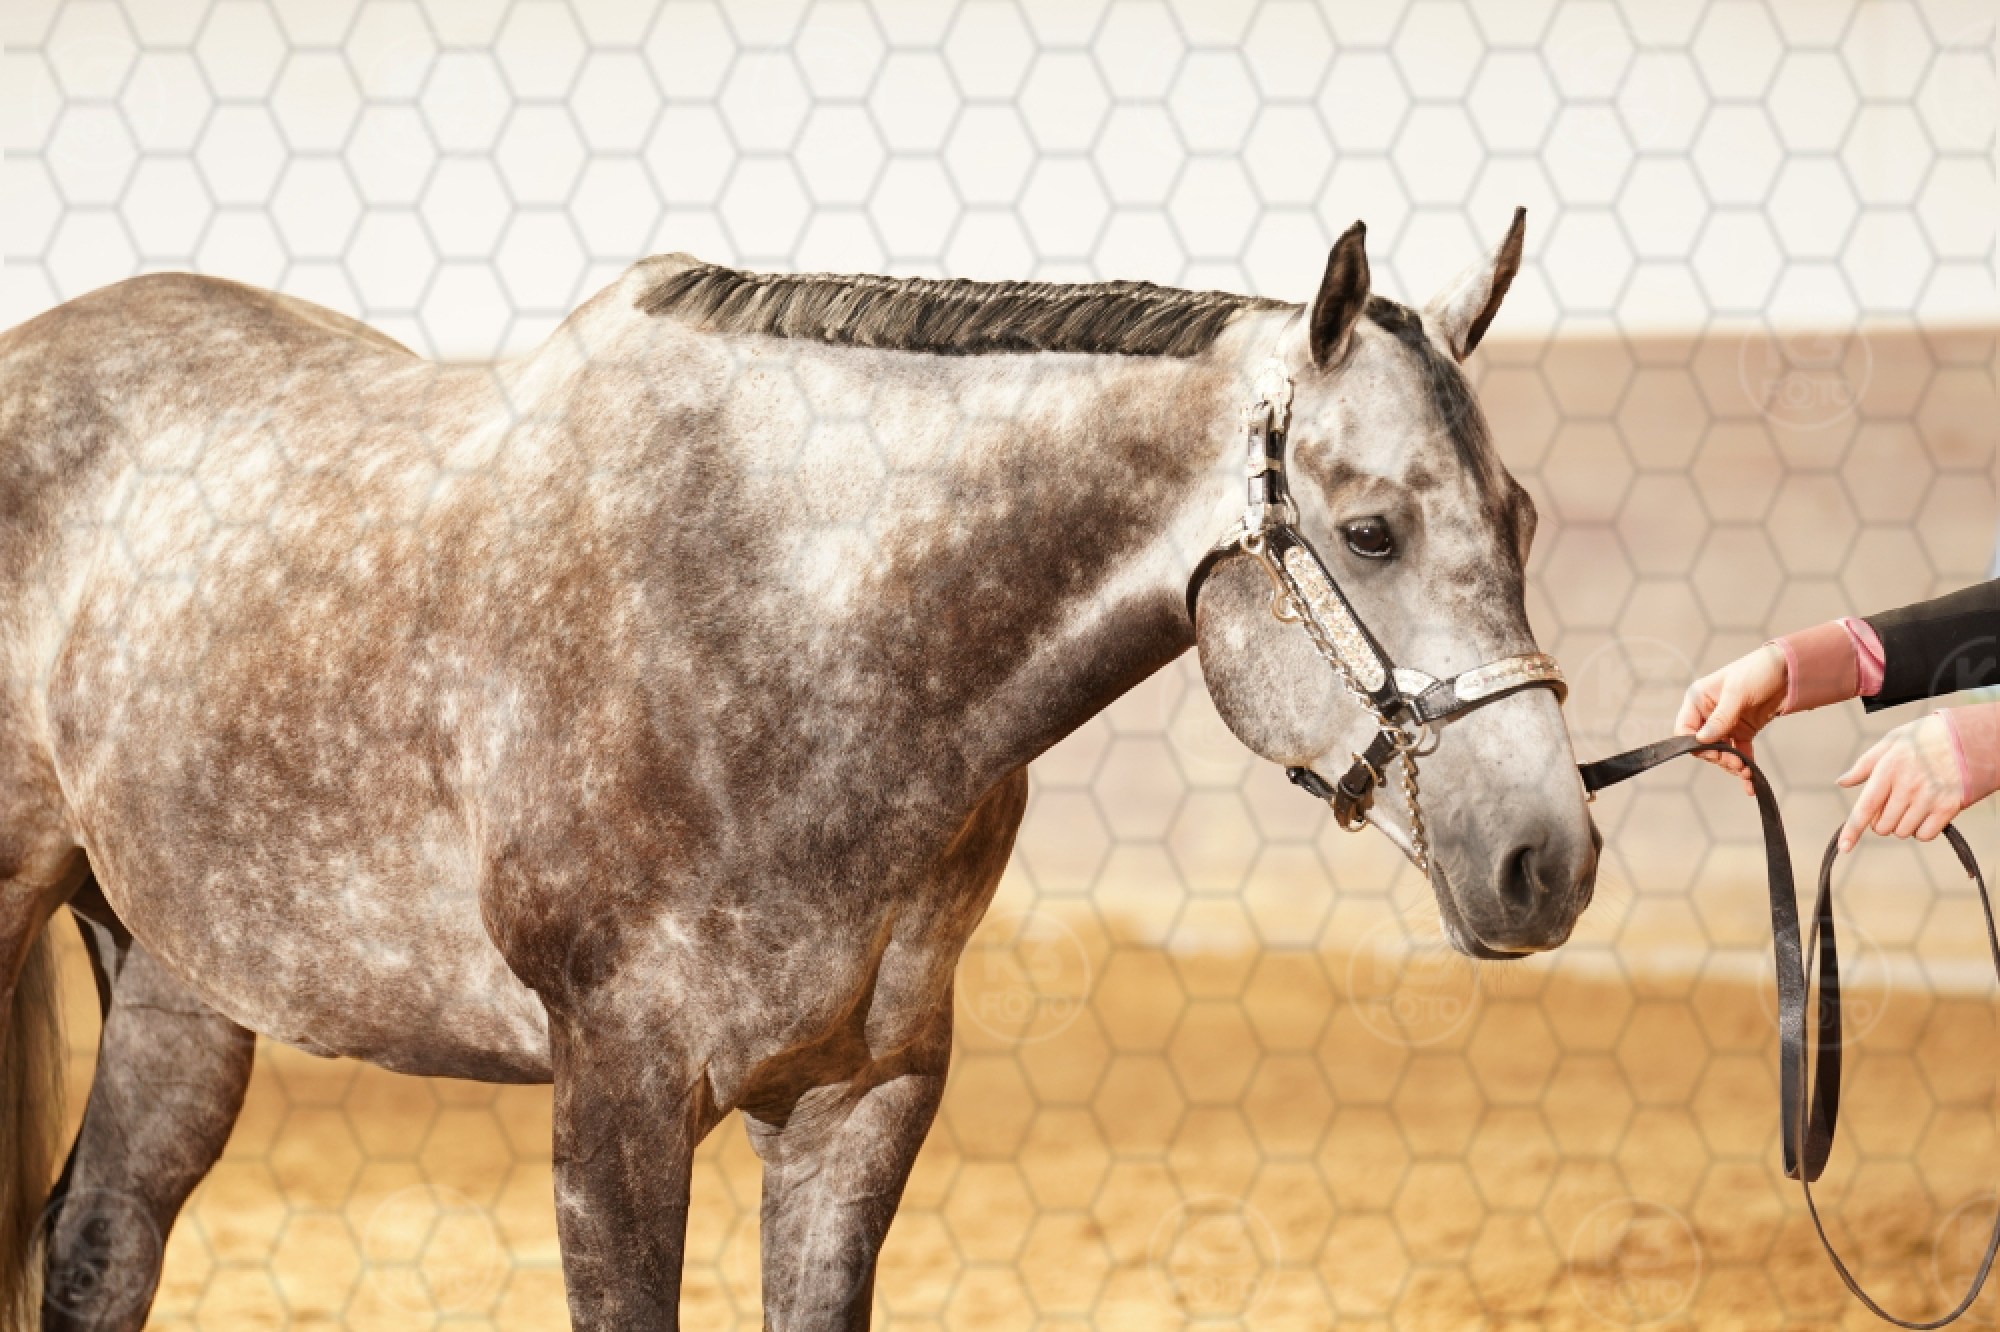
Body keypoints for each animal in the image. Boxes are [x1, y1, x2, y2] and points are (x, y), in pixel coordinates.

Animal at [0, 212, 1597, 1330]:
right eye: (1373, 529)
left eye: (1519, 515)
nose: (1548, 859)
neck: (782, 611)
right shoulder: (618, 1093)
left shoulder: (863, 1099)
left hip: (176, 980)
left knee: (98, 1247)